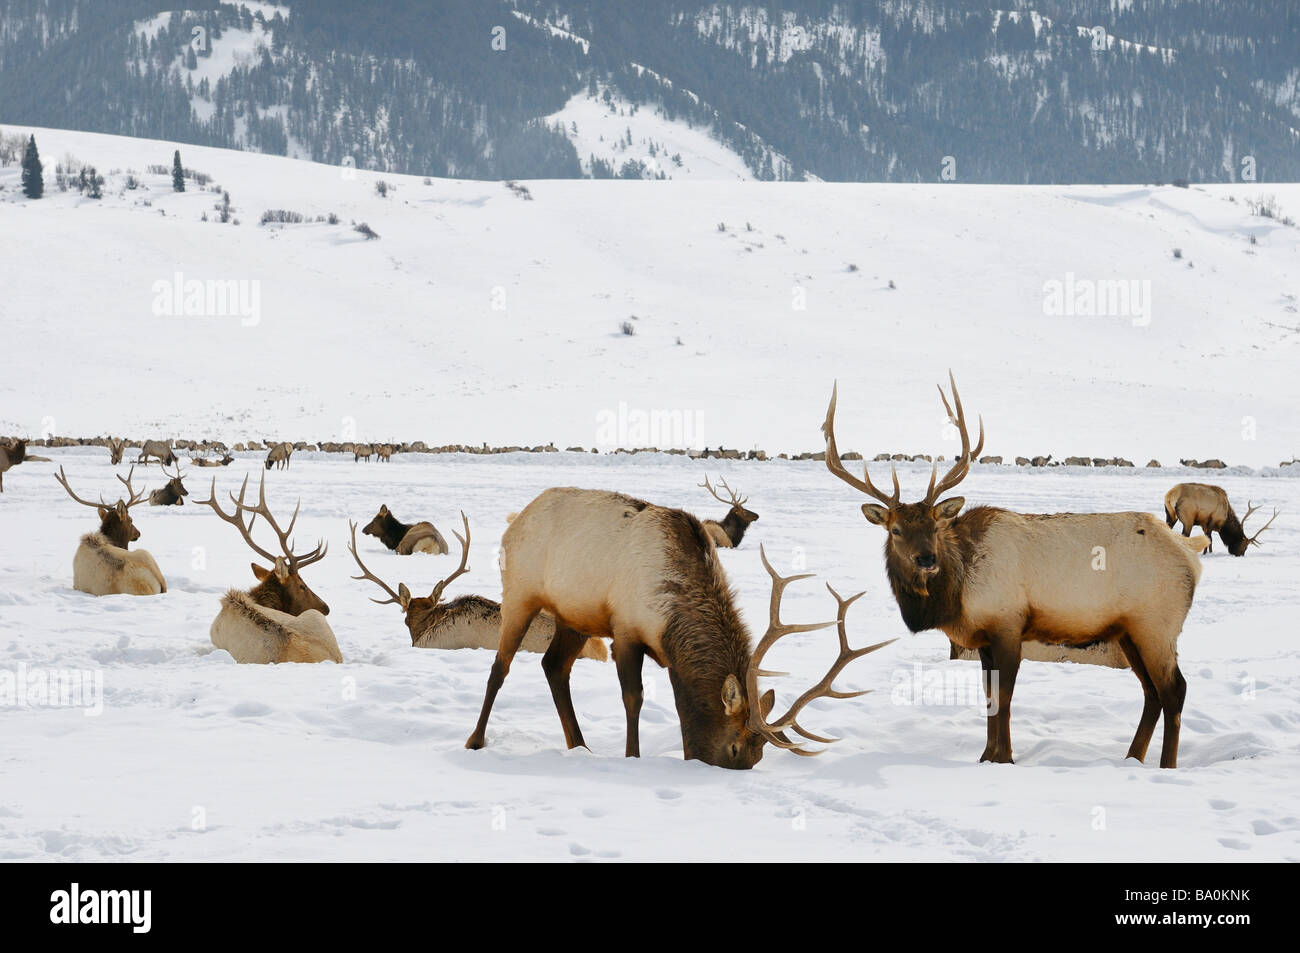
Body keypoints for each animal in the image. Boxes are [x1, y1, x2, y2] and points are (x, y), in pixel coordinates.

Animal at [460, 486, 894, 769]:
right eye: (735, 748)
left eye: (759, 755)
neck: (670, 615)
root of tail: (515, 519)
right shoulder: (626, 630)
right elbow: (632, 698)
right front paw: (632, 756)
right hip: (520, 593)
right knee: (500, 667)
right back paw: (475, 740)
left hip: (574, 616)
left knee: (553, 667)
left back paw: (579, 746)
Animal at [826, 371, 1211, 764]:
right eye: (896, 530)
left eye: (935, 526)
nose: (927, 559)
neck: (957, 596)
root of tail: (1191, 554)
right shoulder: (982, 639)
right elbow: (989, 697)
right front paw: (986, 755)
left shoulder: (1008, 625)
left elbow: (1004, 699)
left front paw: (1004, 757)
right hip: (1128, 631)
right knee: (1151, 692)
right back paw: (1132, 757)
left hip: (1157, 625)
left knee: (1174, 690)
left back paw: (1165, 765)